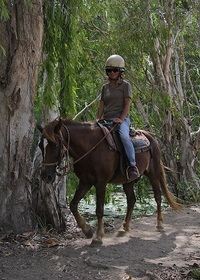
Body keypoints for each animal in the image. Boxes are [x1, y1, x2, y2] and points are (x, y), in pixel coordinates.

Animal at [37, 118, 180, 245]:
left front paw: (98, 237)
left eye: (55, 144)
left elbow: (99, 210)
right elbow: (73, 205)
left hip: (153, 174)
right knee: (131, 200)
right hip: (128, 181)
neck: (90, 147)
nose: (45, 176)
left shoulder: (101, 182)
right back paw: (124, 228)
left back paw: (159, 224)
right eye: (40, 146)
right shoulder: (85, 182)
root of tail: (150, 137)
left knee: (157, 197)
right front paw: (87, 230)